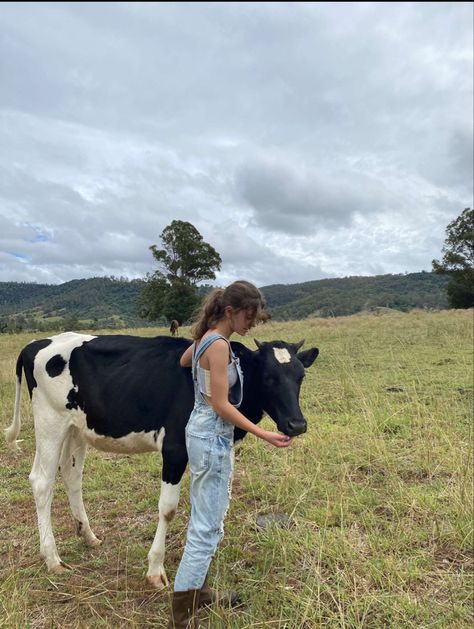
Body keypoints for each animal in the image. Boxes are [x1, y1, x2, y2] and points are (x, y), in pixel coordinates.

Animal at [4, 332, 318, 588]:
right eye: (268, 377)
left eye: (300, 376)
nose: (297, 424)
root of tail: (35, 344)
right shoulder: (175, 448)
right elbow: (168, 509)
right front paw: (156, 569)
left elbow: (210, 503)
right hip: (50, 422)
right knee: (41, 481)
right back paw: (52, 558)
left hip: (76, 428)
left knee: (72, 476)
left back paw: (88, 535)